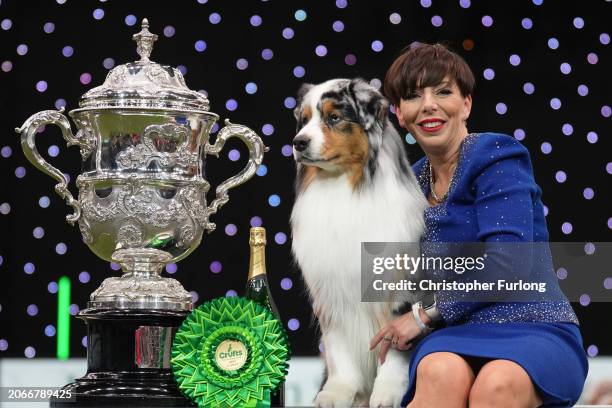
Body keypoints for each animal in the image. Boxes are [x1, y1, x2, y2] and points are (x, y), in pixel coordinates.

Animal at [290, 78, 426, 406]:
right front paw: (337, 392)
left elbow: (394, 345)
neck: (344, 187)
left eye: (333, 117)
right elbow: (338, 347)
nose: (298, 142)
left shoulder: (400, 287)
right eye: (304, 120)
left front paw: (387, 393)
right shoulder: (331, 291)